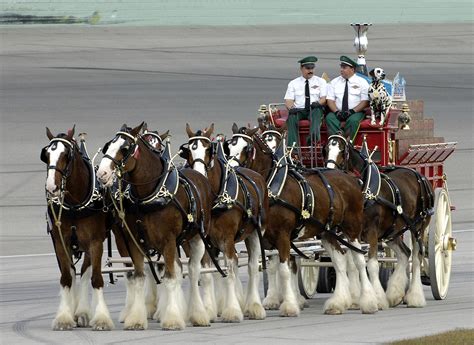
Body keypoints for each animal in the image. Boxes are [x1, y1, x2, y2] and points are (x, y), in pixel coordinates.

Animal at [40, 125, 114, 330]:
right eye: (46, 155)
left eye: (66, 155)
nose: (52, 187)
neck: (74, 205)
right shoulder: (60, 242)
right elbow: (66, 277)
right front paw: (64, 317)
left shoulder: (95, 242)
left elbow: (95, 278)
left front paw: (102, 318)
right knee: (73, 272)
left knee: (85, 271)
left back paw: (82, 311)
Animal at [97, 122, 214, 330]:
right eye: (108, 145)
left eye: (124, 148)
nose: (102, 173)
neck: (149, 195)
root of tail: (200, 176)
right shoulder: (133, 241)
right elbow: (138, 278)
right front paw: (136, 318)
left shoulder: (168, 241)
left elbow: (169, 277)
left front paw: (172, 319)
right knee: (179, 269)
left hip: (196, 238)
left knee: (194, 272)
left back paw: (199, 313)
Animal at [182, 124, 268, 322]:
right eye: (189, 150)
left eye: (209, 149)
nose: (198, 174)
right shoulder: (205, 240)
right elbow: (207, 273)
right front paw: (208, 310)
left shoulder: (227, 238)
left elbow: (229, 270)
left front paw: (232, 310)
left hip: (255, 233)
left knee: (252, 266)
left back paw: (254, 306)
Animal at [226, 124, 378, 314]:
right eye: (229, 146)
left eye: (247, 149)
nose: (231, 172)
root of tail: (350, 178)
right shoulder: (269, 237)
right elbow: (278, 267)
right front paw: (276, 300)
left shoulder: (283, 235)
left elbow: (285, 269)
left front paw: (290, 305)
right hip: (327, 232)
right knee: (340, 260)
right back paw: (338, 302)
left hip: (352, 227)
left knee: (358, 260)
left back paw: (367, 300)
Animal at [326, 134, 434, 306]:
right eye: (326, 149)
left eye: (343, 151)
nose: (329, 171)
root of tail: (421, 176)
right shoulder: (350, 233)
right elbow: (353, 264)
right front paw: (356, 297)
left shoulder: (371, 232)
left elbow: (372, 265)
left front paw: (376, 298)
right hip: (392, 231)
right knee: (405, 253)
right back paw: (395, 294)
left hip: (418, 227)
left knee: (417, 258)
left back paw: (415, 297)